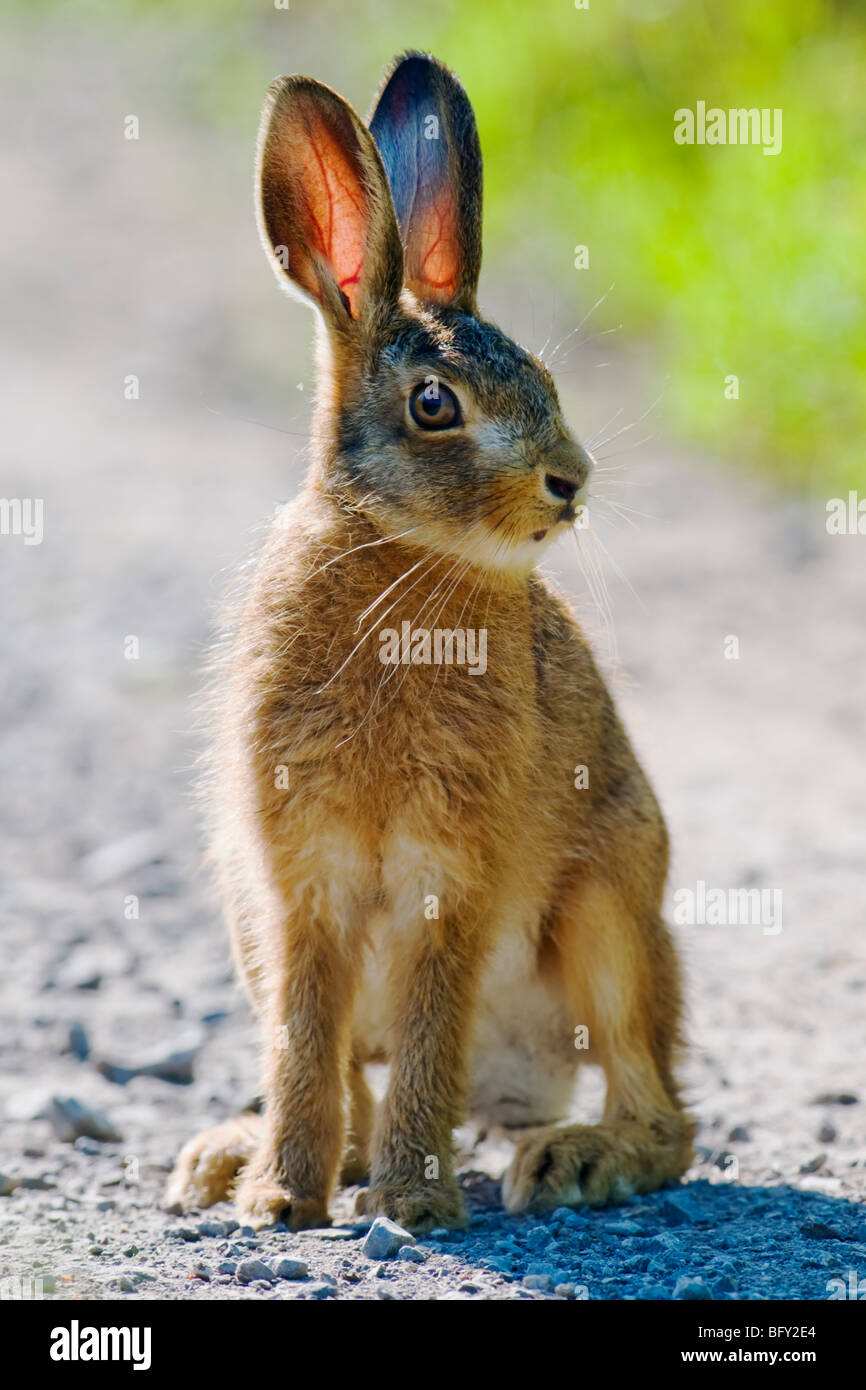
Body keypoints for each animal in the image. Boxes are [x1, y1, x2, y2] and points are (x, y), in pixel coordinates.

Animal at [165, 51, 694, 1233]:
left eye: (543, 380)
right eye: (434, 405)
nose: (571, 479)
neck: (404, 557)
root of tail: (521, 1082)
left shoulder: (449, 876)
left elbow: (424, 1031)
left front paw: (413, 1202)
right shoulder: (297, 884)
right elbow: (308, 1045)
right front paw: (283, 1200)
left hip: (608, 919)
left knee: (658, 1105)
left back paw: (570, 1161)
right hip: (244, 920)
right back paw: (233, 1159)